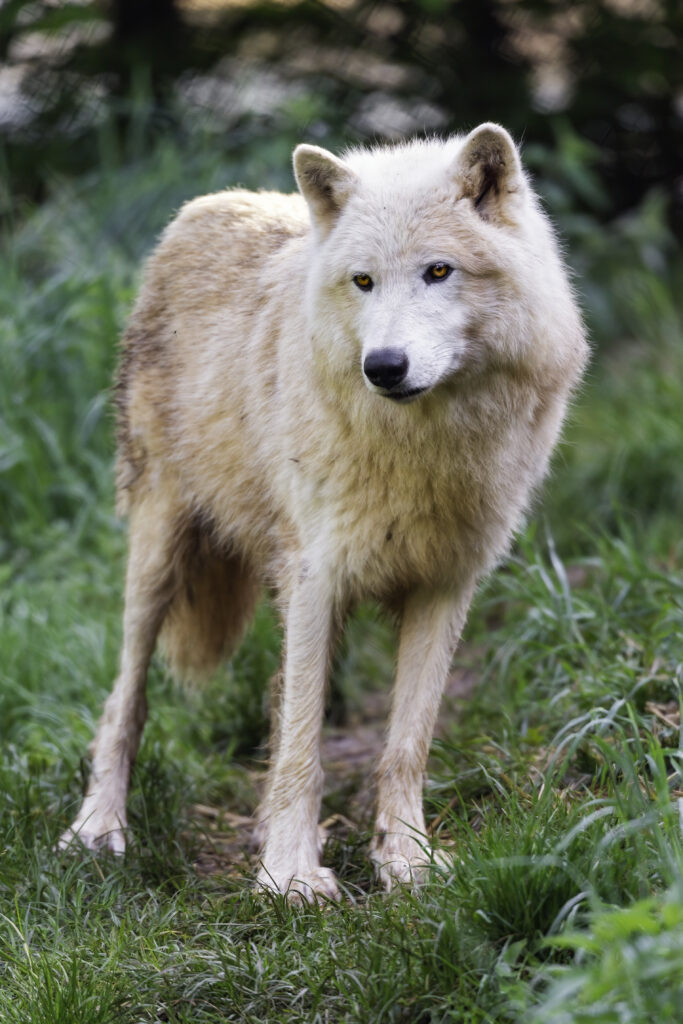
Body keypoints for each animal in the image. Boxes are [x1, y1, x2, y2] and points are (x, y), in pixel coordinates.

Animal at [60, 124, 588, 900]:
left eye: (438, 272)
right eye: (362, 281)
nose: (384, 367)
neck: (422, 448)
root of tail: (206, 206)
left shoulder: (445, 586)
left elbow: (404, 743)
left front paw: (405, 861)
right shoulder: (317, 578)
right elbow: (303, 741)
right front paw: (289, 874)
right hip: (159, 552)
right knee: (124, 702)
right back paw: (98, 830)